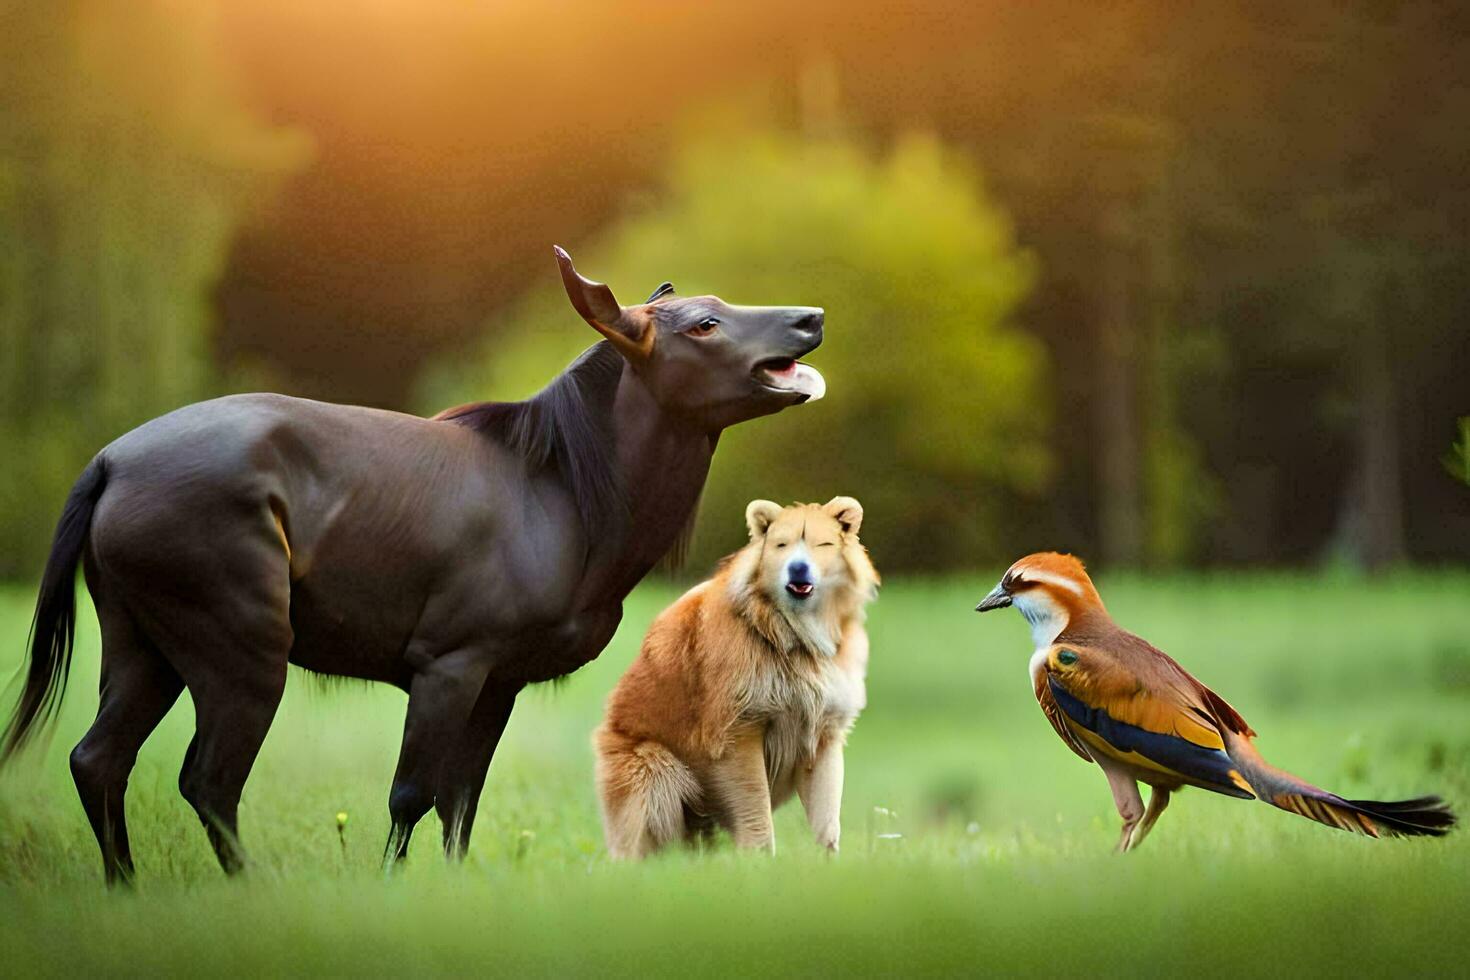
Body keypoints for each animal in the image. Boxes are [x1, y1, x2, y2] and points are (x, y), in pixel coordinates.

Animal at [590, 499, 876, 858]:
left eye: (822, 544)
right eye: (781, 545)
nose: (798, 569)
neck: (793, 635)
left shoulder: (824, 734)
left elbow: (827, 819)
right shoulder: (738, 732)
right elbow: (757, 812)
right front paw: (759, 863)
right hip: (654, 766)